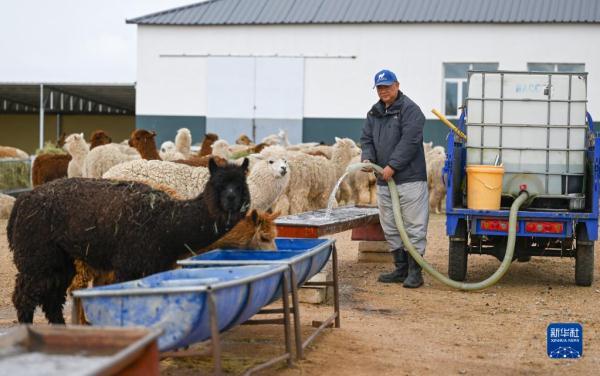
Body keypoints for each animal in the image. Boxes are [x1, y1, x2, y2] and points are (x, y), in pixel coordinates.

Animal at [8, 159, 251, 324]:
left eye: (240, 184)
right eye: (219, 184)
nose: (231, 199)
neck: (168, 224)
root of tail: (22, 199)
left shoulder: (154, 267)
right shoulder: (130, 264)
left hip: (60, 258)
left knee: (52, 298)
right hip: (36, 254)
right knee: (24, 297)